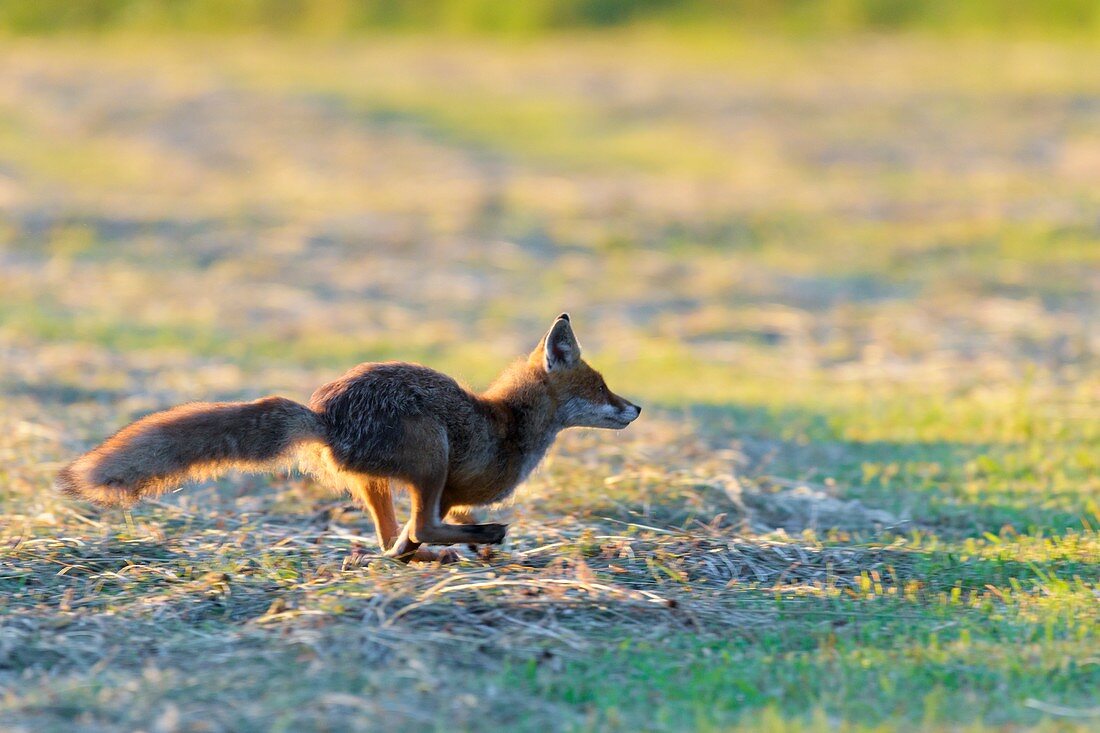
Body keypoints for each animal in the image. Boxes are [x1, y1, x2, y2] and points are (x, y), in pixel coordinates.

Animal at [58, 314, 642, 559]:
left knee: (393, 538)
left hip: (375, 482)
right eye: (601, 387)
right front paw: (478, 543)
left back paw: (427, 557)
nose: (637, 407)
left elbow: (405, 540)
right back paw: (472, 540)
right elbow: (427, 527)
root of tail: (325, 413)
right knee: (418, 529)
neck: (507, 427)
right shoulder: (447, 489)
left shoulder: (449, 495)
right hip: (430, 452)